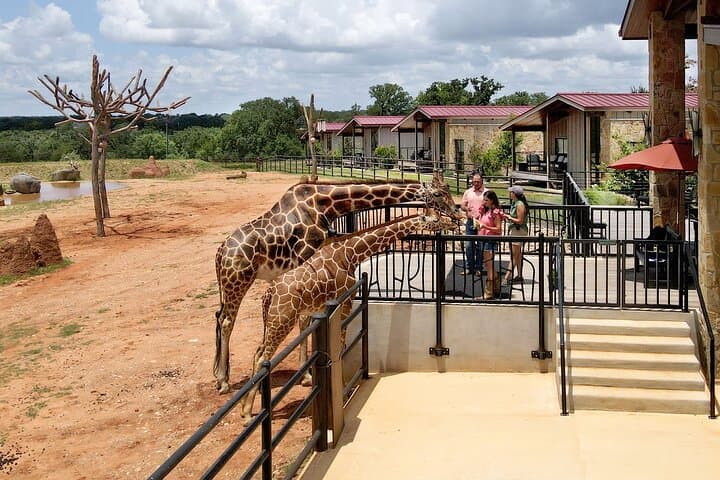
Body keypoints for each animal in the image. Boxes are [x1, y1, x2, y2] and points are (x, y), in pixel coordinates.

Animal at [214, 174, 460, 393]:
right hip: (238, 280)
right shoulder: (306, 255)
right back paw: (224, 381)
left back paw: (221, 376)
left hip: (228, 284)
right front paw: (308, 375)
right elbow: (305, 319)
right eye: (438, 193)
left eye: (448, 189)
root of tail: (220, 252)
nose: (457, 213)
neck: (326, 204)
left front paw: (307, 373)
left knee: (220, 316)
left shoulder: (325, 249)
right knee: (227, 321)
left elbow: (308, 315)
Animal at [239, 213, 457, 420]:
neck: (350, 252)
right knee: (263, 357)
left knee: (258, 352)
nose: (454, 223)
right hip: (282, 319)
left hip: (272, 319)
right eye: (436, 220)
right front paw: (343, 391)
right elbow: (341, 346)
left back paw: (246, 406)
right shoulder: (345, 302)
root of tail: (269, 293)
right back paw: (248, 414)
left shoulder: (321, 307)